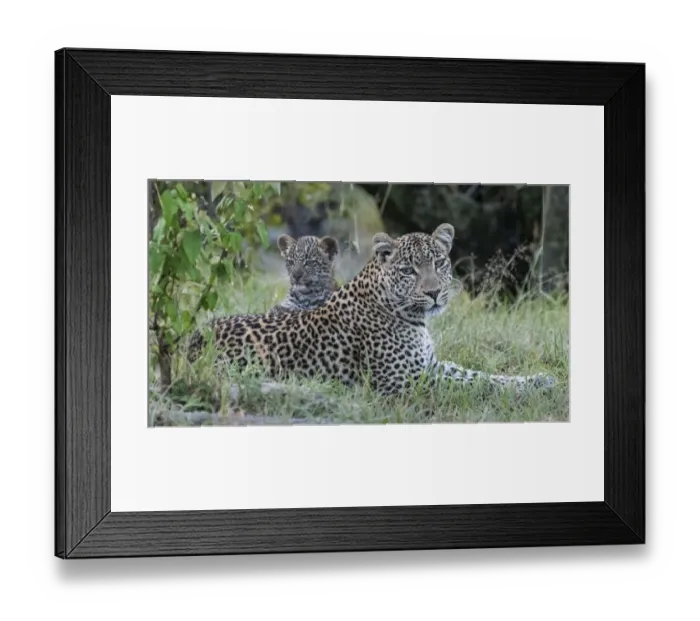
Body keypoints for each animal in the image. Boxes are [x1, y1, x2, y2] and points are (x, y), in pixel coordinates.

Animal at [187, 223, 556, 396]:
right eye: (408, 270)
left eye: (439, 262)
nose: (434, 292)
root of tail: (188, 340)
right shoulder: (405, 382)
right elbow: (475, 386)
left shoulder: (431, 366)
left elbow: (480, 375)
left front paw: (540, 380)